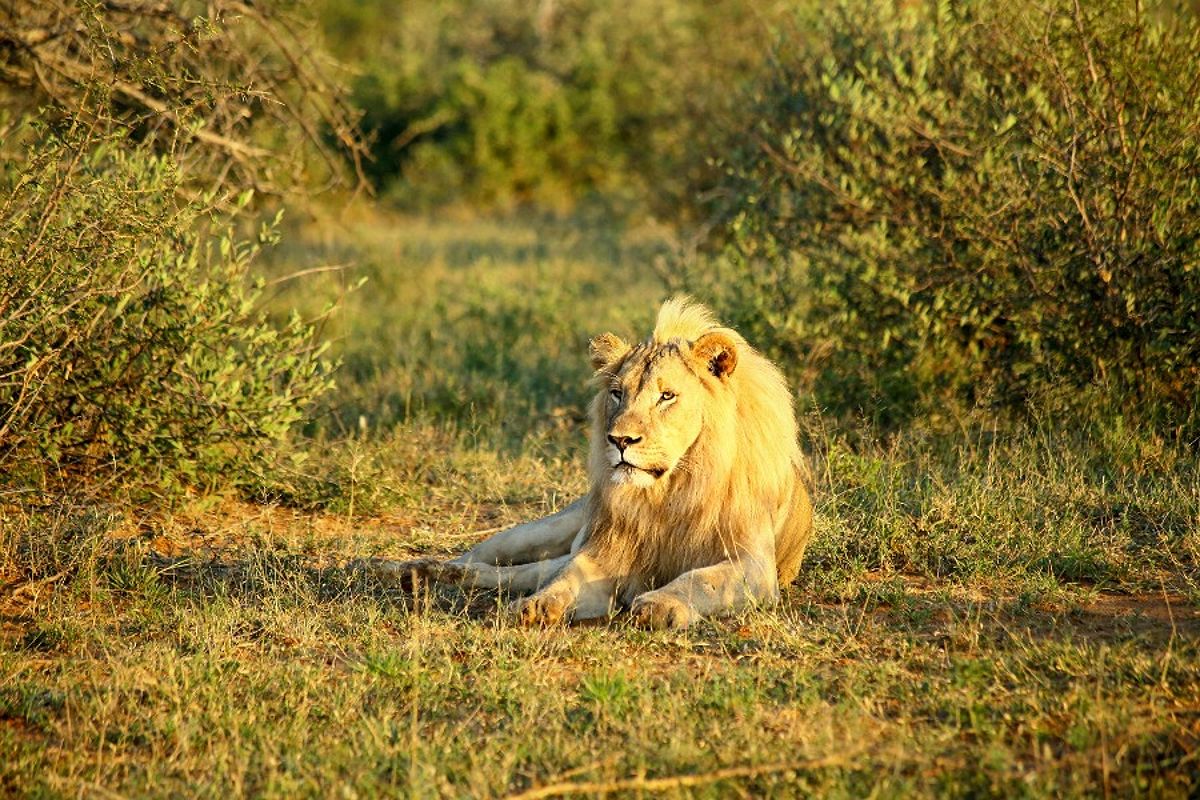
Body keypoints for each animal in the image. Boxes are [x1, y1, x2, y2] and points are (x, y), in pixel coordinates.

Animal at [386, 297, 816, 628]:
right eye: (617, 393)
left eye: (666, 396)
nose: (620, 440)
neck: (668, 491)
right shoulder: (605, 553)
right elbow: (568, 581)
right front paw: (537, 607)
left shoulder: (754, 566)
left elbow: (700, 580)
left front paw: (660, 605)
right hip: (542, 531)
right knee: (492, 560)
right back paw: (414, 570)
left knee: (524, 573)